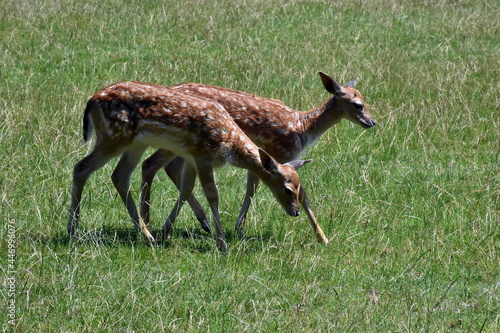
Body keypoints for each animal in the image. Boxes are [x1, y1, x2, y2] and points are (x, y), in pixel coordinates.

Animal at [66, 80, 308, 250]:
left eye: (299, 186)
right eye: (288, 189)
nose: (296, 212)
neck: (229, 142)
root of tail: (91, 101)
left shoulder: (191, 158)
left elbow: (186, 188)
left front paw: (168, 231)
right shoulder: (202, 155)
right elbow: (212, 194)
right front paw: (222, 244)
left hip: (135, 143)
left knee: (119, 176)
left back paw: (145, 234)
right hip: (113, 136)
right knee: (81, 167)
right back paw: (72, 229)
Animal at [141, 71, 376, 243]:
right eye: (358, 105)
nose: (371, 122)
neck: (302, 128)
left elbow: (251, 188)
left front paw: (239, 228)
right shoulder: (281, 154)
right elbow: (301, 193)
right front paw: (323, 238)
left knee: (167, 167)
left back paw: (193, 222)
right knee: (152, 164)